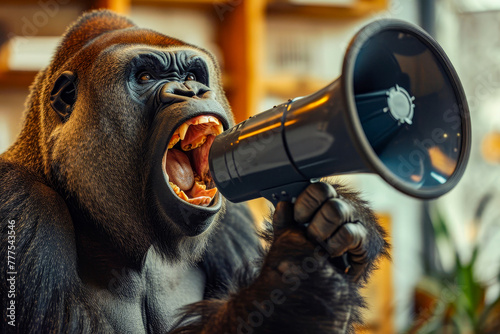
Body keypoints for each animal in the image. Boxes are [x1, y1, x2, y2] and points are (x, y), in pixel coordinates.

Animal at [0, 9, 388, 332]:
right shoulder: (21, 203)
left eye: (191, 74)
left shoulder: (231, 220)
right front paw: (299, 268)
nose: (192, 90)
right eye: (145, 76)